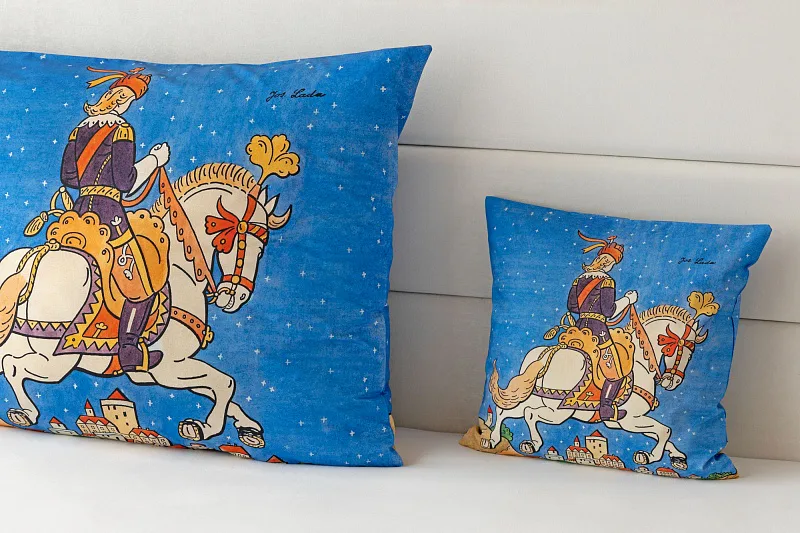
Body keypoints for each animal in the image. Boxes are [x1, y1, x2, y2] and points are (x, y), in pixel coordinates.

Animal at [0, 136, 296, 448]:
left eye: (262, 250)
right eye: (252, 247)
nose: (236, 297)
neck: (179, 266)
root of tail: (32, 260)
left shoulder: (161, 374)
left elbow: (225, 392)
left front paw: (248, 427)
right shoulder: (169, 369)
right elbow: (225, 383)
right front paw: (203, 428)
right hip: (58, 361)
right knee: (13, 367)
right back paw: (26, 413)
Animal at [482, 292, 719, 470]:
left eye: (692, 353)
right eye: (676, 349)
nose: (673, 382)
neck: (639, 361)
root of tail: (548, 353)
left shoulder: (626, 422)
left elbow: (666, 434)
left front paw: (678, 457)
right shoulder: (629, 420)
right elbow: (665, 431)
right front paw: (648, 456)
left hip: (533, 398)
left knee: (508, 411)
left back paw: (497, 440)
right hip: (560, 412)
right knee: (528, 414)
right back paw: (529, 443)